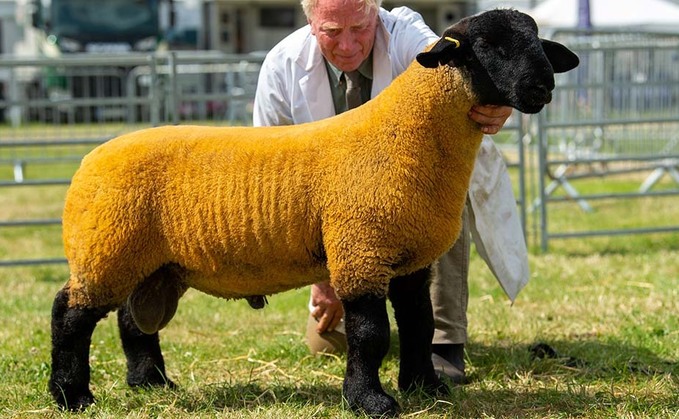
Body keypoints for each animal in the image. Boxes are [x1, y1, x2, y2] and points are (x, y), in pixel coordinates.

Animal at [49, 8, 580, 418]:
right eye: (488, 45)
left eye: (537, 43)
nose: (542, 86)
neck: (407, 134)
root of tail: (90, 159)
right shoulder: (361, 252)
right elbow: (371, 334)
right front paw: (370, 401)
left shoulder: (410, 260)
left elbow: (419, 323)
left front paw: (426, 387)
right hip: (106, 248)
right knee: (69, 314)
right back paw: (72, 395)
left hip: (150, 261)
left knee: (131, 320)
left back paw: (151, 383)